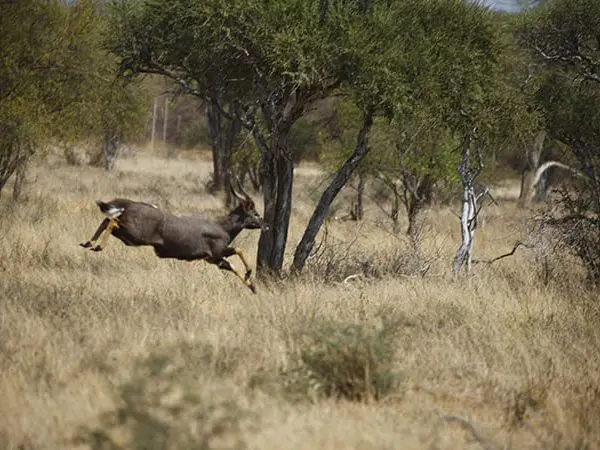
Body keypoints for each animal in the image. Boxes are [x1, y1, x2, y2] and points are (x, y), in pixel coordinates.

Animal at [79, 185, 264, 294]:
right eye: (255, 213)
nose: (265, 225)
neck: (223, 227)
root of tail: (129, 205)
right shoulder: (218, 253)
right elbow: (239, 250)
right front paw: (249, 275)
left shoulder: (214, 260)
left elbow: (232, 266)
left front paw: (253, 287)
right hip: (134, 236)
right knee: (112, 221)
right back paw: (97, 246)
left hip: (128, 237)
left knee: (107, 220)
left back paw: (88, 243)